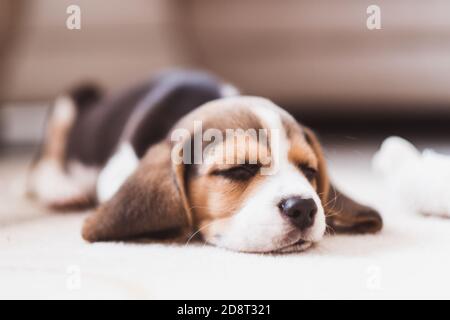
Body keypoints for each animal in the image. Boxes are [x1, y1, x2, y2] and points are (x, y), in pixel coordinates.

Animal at [26, 69, 382, 252]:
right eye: (239, 169)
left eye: (309, 171)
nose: (305, 208)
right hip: (69, 101)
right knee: (41, 162)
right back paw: (61, 191)